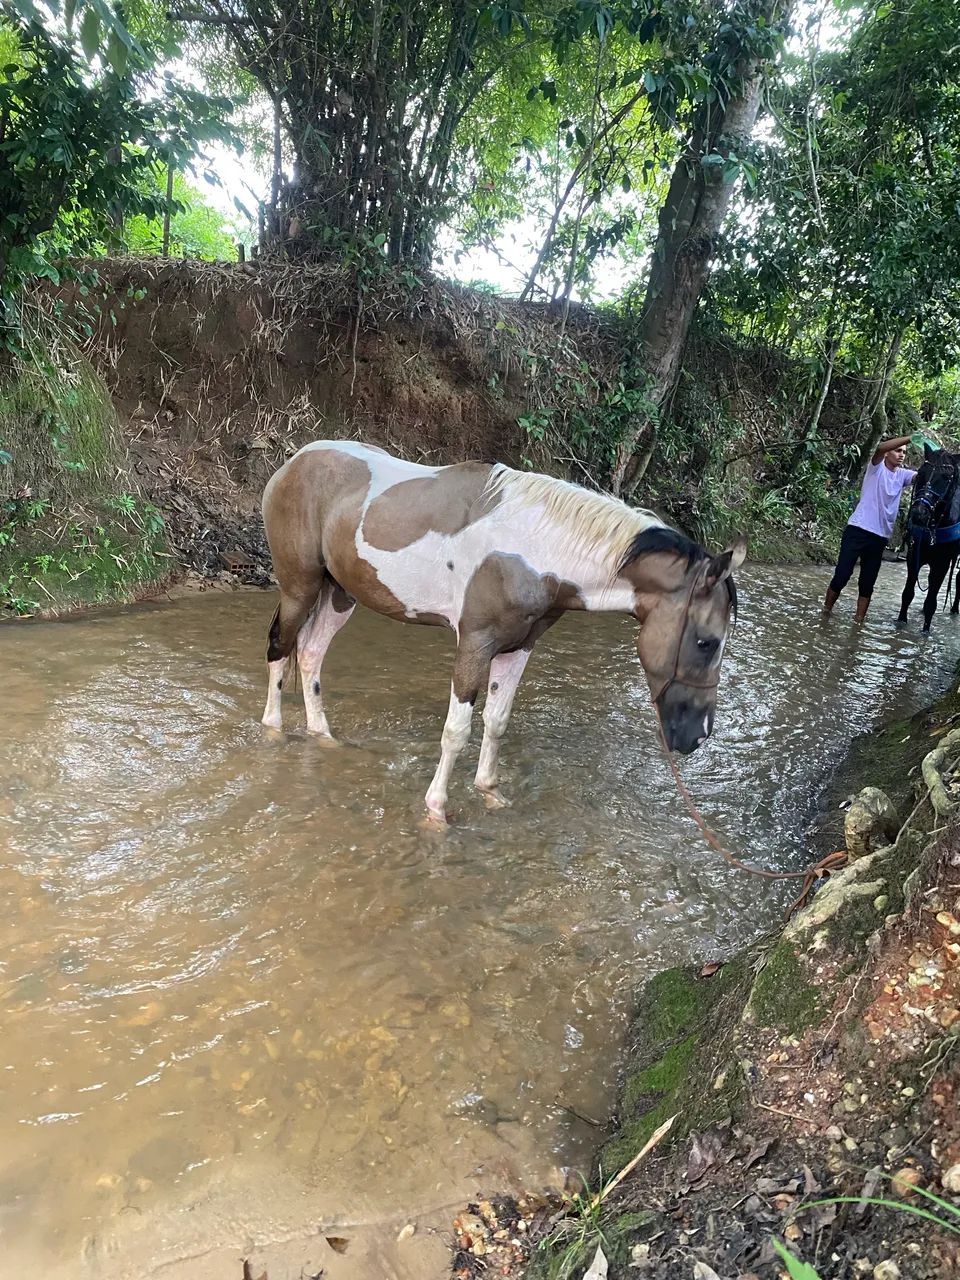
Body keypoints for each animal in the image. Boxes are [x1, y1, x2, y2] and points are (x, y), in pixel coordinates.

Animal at [260, 441, 745, 823]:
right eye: (706, 642)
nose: (698, 735)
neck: (533, 547)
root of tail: (294, 462)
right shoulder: (475, 644)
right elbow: (457, 730)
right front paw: (437, 810)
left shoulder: (518, 647)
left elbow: (496, 721)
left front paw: (490, 792)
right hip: (300, 588)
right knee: (280, 648)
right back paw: (274, 730)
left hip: (340, 594)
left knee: (311, 653)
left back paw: (323, 737)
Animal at [897, 444, 960, 632]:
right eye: (921, 473)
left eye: (946, 478)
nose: (919, 513)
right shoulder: (914, 555)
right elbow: (908, 593)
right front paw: (901, 622)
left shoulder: (942, 563)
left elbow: (932, 601)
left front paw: (925, 631)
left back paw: (954, 610)